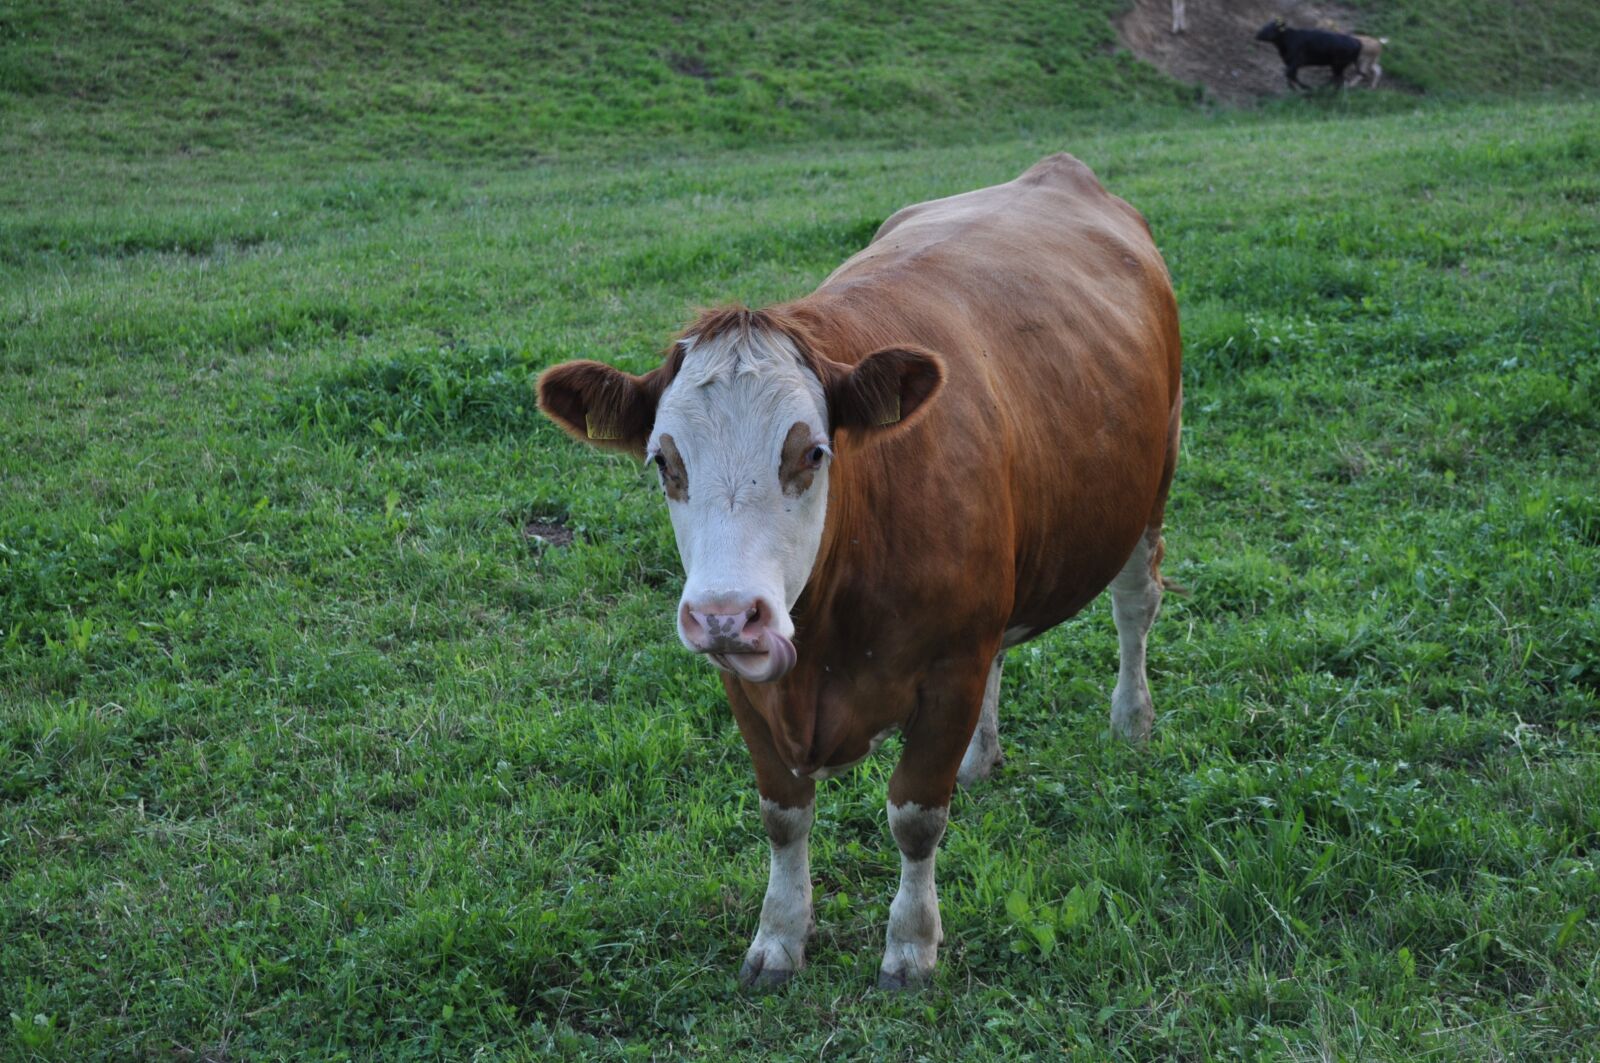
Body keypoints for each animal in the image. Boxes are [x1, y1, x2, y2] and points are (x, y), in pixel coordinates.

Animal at [537, 154, 1182, 990]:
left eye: (812, 452)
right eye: (663, 462)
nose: (724, 614)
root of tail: (1059, 168)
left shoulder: (948, 668)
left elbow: (915, 815)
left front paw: (910, 943)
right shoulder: (748, 686)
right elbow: (783, 814)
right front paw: (779, 935)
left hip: (1153, 479)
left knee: (1136, 604)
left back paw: (1131, 719)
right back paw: (983, 754)